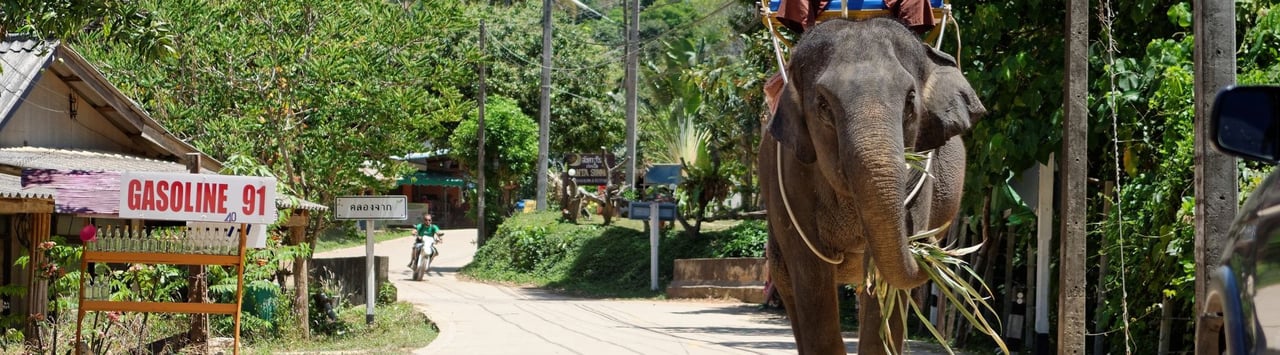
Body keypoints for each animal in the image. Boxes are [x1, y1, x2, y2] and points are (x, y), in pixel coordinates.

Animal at [757, 17, 988, 351]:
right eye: (823, 105)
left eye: (910, 101)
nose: (929, 246)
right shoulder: (790, 175)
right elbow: (811, 276)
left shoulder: (920, 178)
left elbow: (884, 284)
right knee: (785, 278)